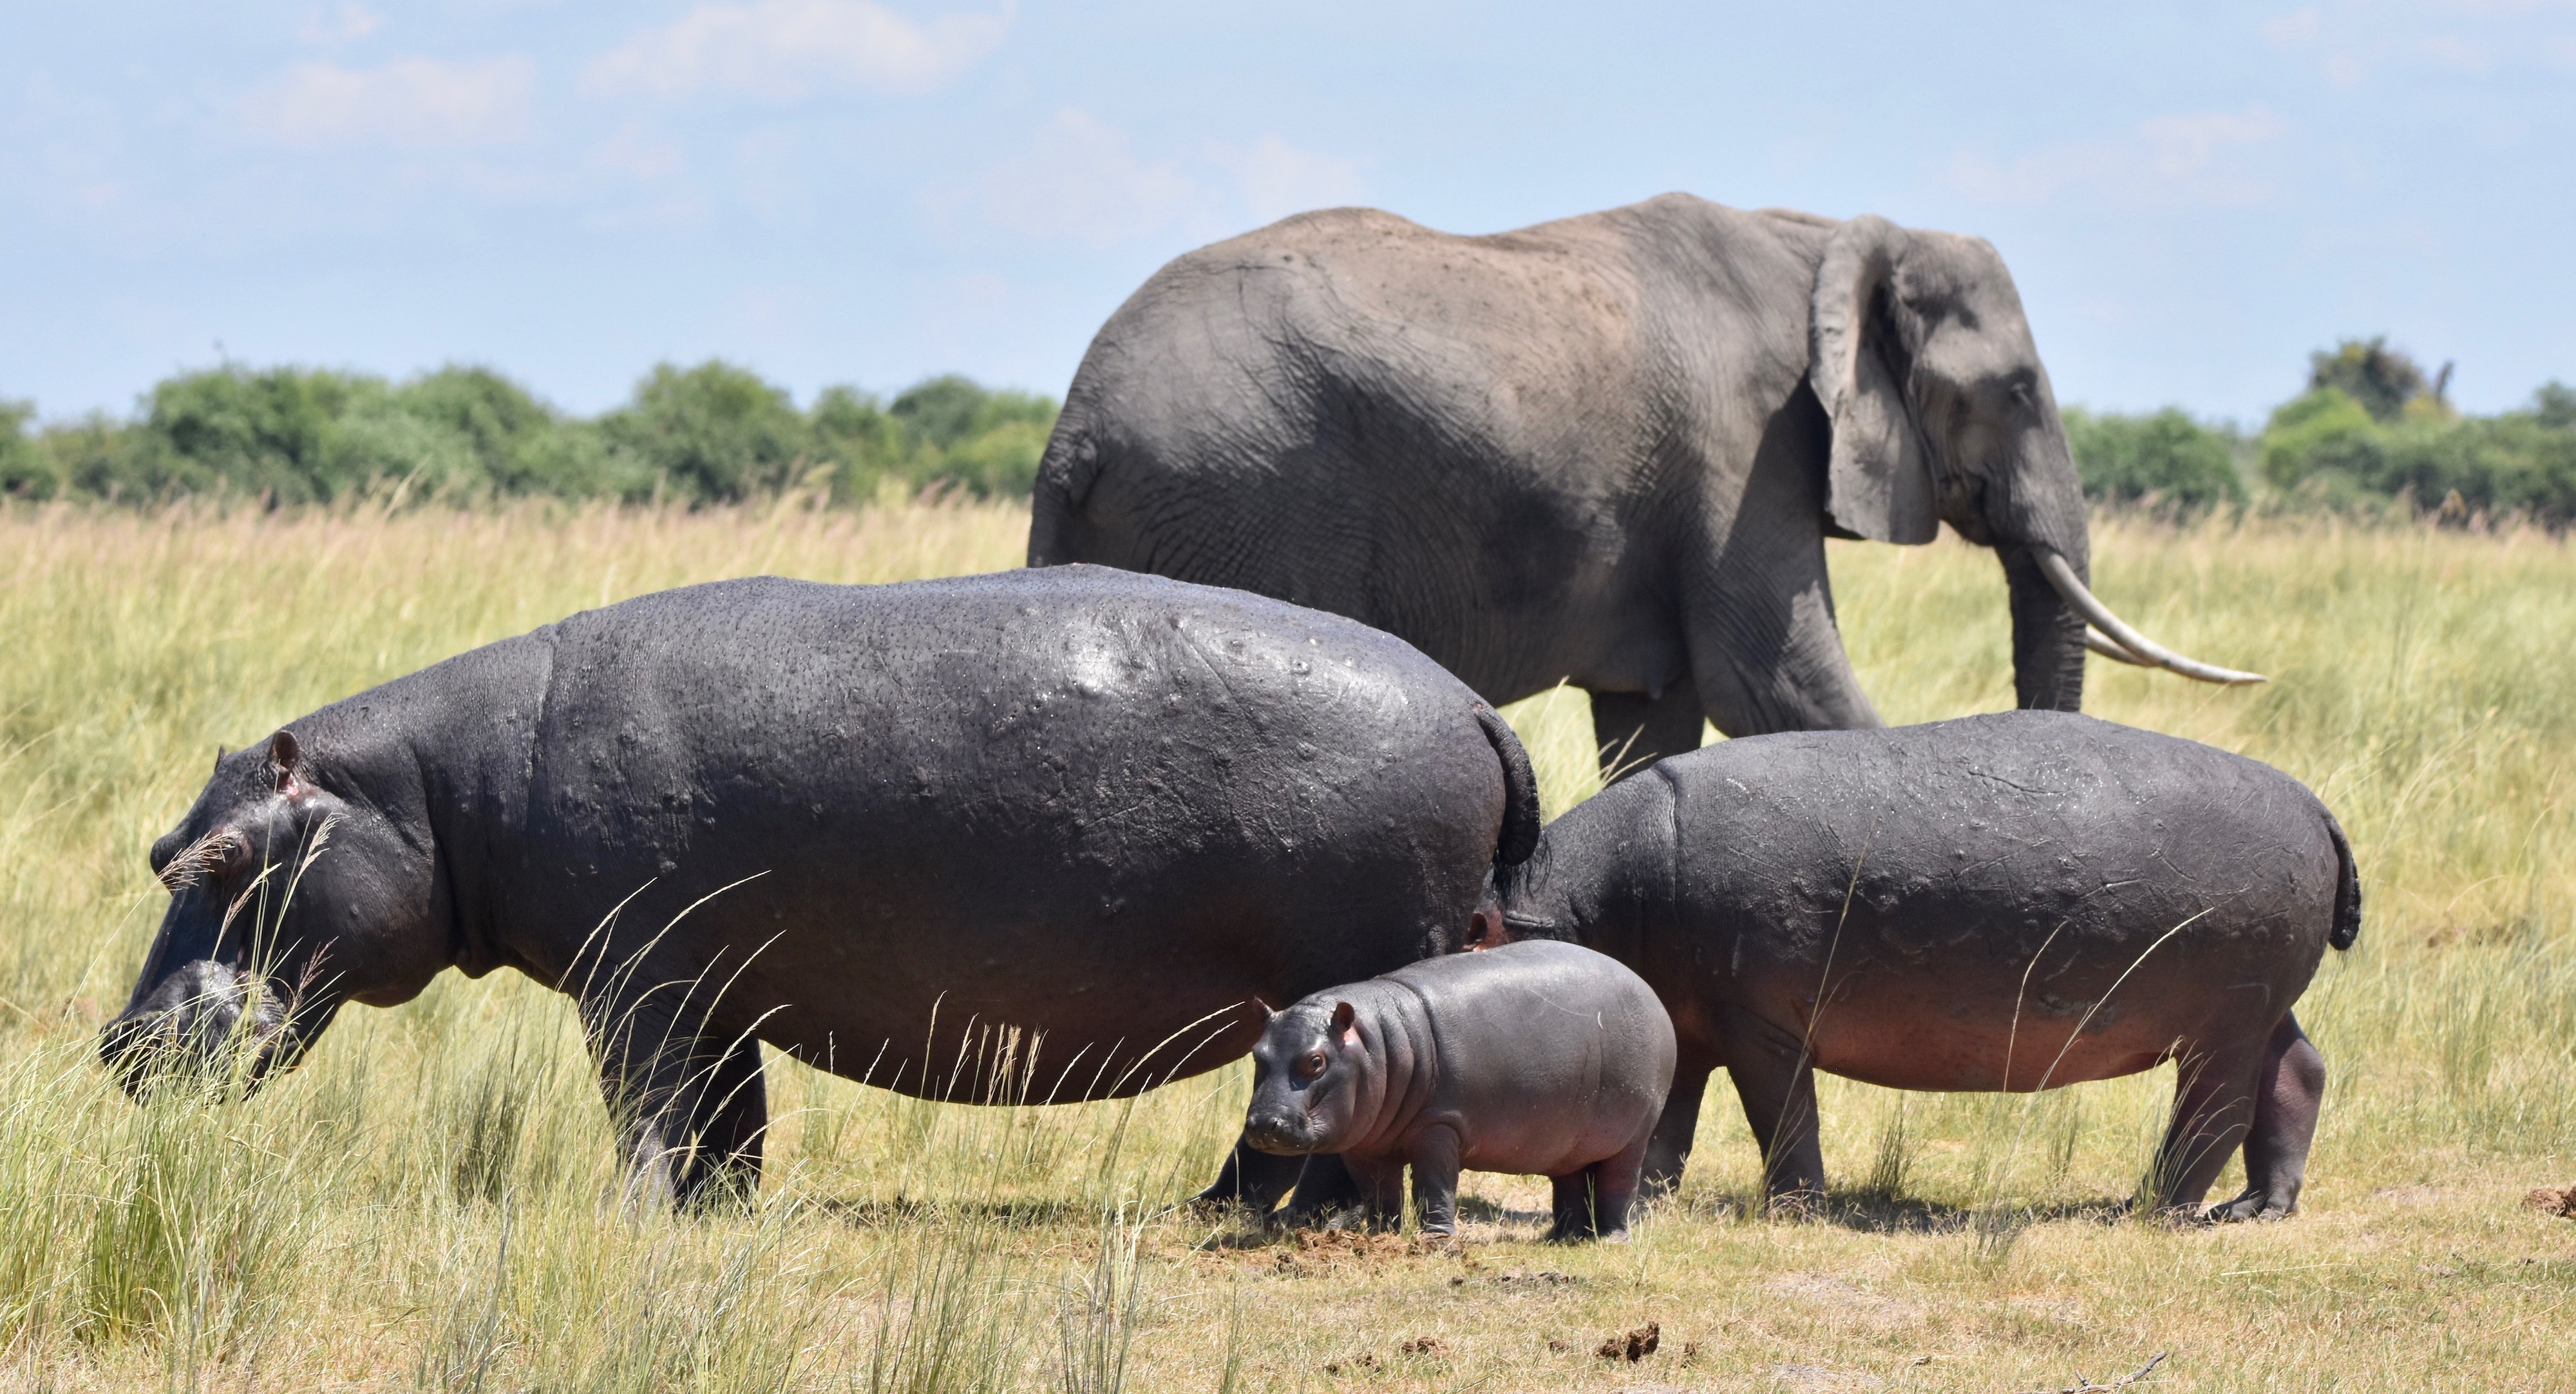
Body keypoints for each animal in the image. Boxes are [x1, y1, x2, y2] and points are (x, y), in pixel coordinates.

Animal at [106, 564, 1525, 1205]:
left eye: (223, 857)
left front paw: (634, 1212)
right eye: (157, 847)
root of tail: (1467, 700)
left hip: (1348, 965)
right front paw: (719, 1210)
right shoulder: (715, 986)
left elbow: (646, 1104)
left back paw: (1283, 1212)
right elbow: (728, 1115)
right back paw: (1223, 1203)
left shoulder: (637, 981)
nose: (120, 1041)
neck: (439, 787)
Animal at [1025, 193, 2257, 773]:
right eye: (2014, 390)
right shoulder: (1744, 452)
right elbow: (1777, 688)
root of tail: (1075, 422)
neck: (1817, 239)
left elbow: (1655, 724)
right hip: (1247, 499)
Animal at [1242, 932, 1680, 1236]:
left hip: (1634, 1135)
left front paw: (1436, 1240)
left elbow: (1434, 1184)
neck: (1377, 1043)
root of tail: (1652, 994)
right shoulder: (1366, 1144)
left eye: (1316, 1061)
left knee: (1620, 1184)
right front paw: (1381, 1237)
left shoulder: (1439, 1126)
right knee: (1570, 1184)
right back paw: (1562, 1238)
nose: (1263, 1124)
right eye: (1256, 1053)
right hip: (1570, 1143)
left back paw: (1611, 1238)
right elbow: (1380, 1191)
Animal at [1494, 711, 2360, 1221]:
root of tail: (2318, 805)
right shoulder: (1687, 1021)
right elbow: (1671, 1115)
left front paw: (1793, 1210)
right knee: (2298, 1071)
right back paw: (2255, 1207)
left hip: (2222, 1023)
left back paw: (2147, 1206)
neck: (1573, 896)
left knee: (2214, 1112)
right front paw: (1652, 1198)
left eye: (1475, 931)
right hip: (2259, 1008)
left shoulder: (1759, 1025)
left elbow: (1781, 1113)